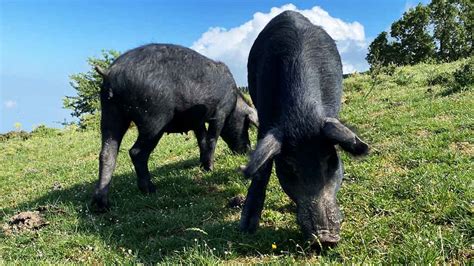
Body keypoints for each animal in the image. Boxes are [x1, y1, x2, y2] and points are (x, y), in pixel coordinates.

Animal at [241, 10, 370, 247]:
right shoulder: (265, 117)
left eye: (330, 161)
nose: (325, 238)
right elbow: (262, 168)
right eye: (290, 168)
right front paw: (246, 228)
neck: (302, 114)